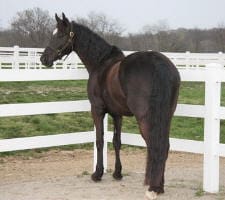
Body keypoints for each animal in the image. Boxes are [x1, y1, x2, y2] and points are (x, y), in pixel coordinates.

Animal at [40, 13, 181, 199]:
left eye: (60, 35)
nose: (43, 59)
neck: (101, 63)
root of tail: (160, 66)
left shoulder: (97, 110)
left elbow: (100, 140)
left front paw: (97, 174)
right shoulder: (117, 114)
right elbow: (116, 142)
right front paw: (117, 173)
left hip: (145, 118)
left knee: (154, 145)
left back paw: (153, 188)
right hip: (167, 116)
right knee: (164, 145)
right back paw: (160, 186)